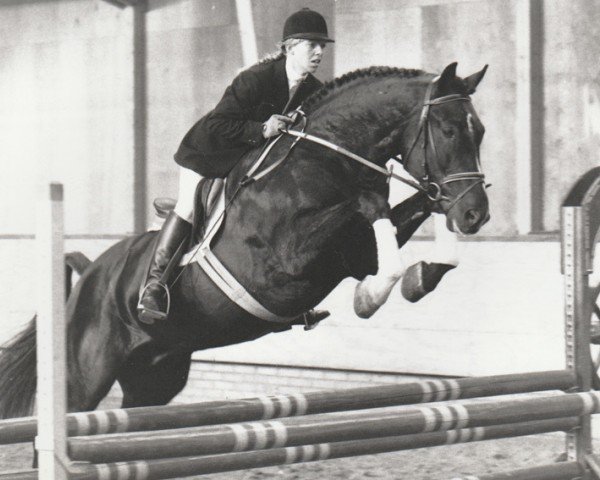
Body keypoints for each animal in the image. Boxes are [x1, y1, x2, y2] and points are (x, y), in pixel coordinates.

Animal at [0, 62, 488, 416]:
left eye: (479, 132)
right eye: (448, 131)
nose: (475, 214)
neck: (324, 156)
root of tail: (90, 273)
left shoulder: (354, 252)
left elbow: (405, 225)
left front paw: (417, 277)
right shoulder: (284, 264)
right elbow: (368, 205)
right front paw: (370, 297)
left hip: (155, 375)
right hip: (84, 376)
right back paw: (151, 297)